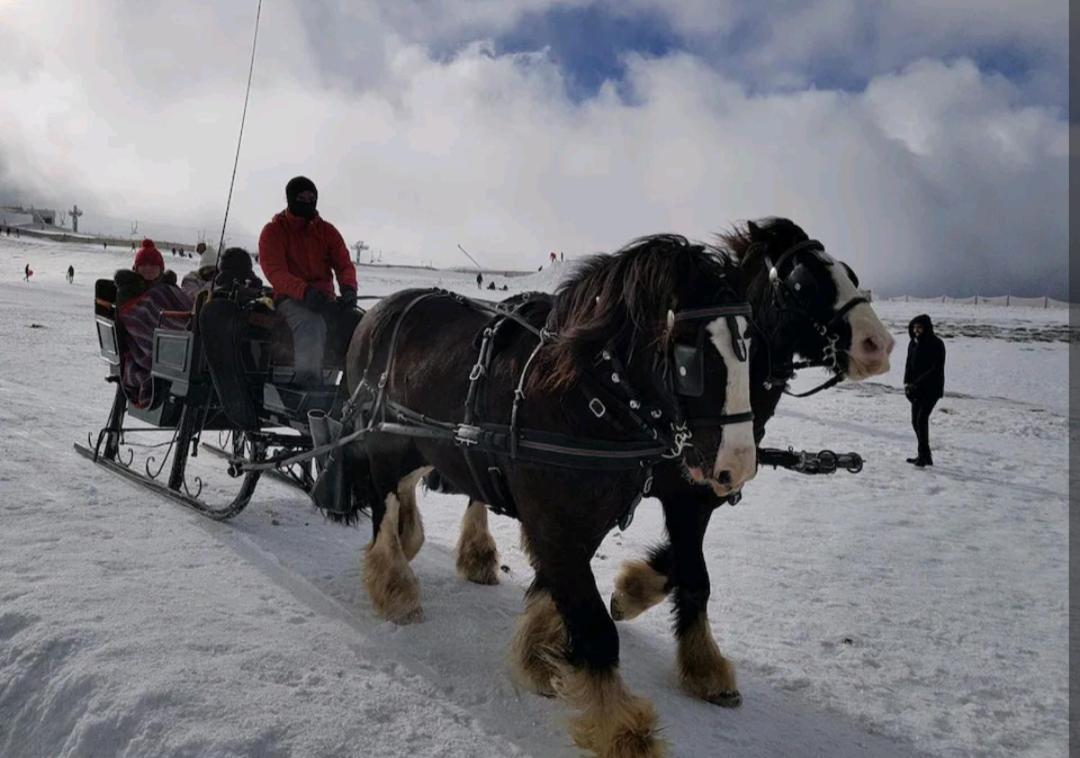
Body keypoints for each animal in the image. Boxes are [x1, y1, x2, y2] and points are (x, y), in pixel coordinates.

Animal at [345, 234, 760, 755]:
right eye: (691, 356)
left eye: (752, 347)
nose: (738, 465)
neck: (584, 398)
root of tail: (379, 311)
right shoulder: (555, 520)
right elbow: (596, 626)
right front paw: (623, 727)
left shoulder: (587, 520)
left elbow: (556, 590)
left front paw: (540, 656)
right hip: (383, 440)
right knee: (384, 506)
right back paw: (394, 585)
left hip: (420, 442)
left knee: (402, 493)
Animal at [447, 214, 894, 712]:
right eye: (804, 283)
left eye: (851, 274)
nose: (879, 345)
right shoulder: (679, 494)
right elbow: (692, 573)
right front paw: (699, 662)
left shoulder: (694, 494)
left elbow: (680, 564)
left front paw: (623, 597)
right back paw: (478, 555)